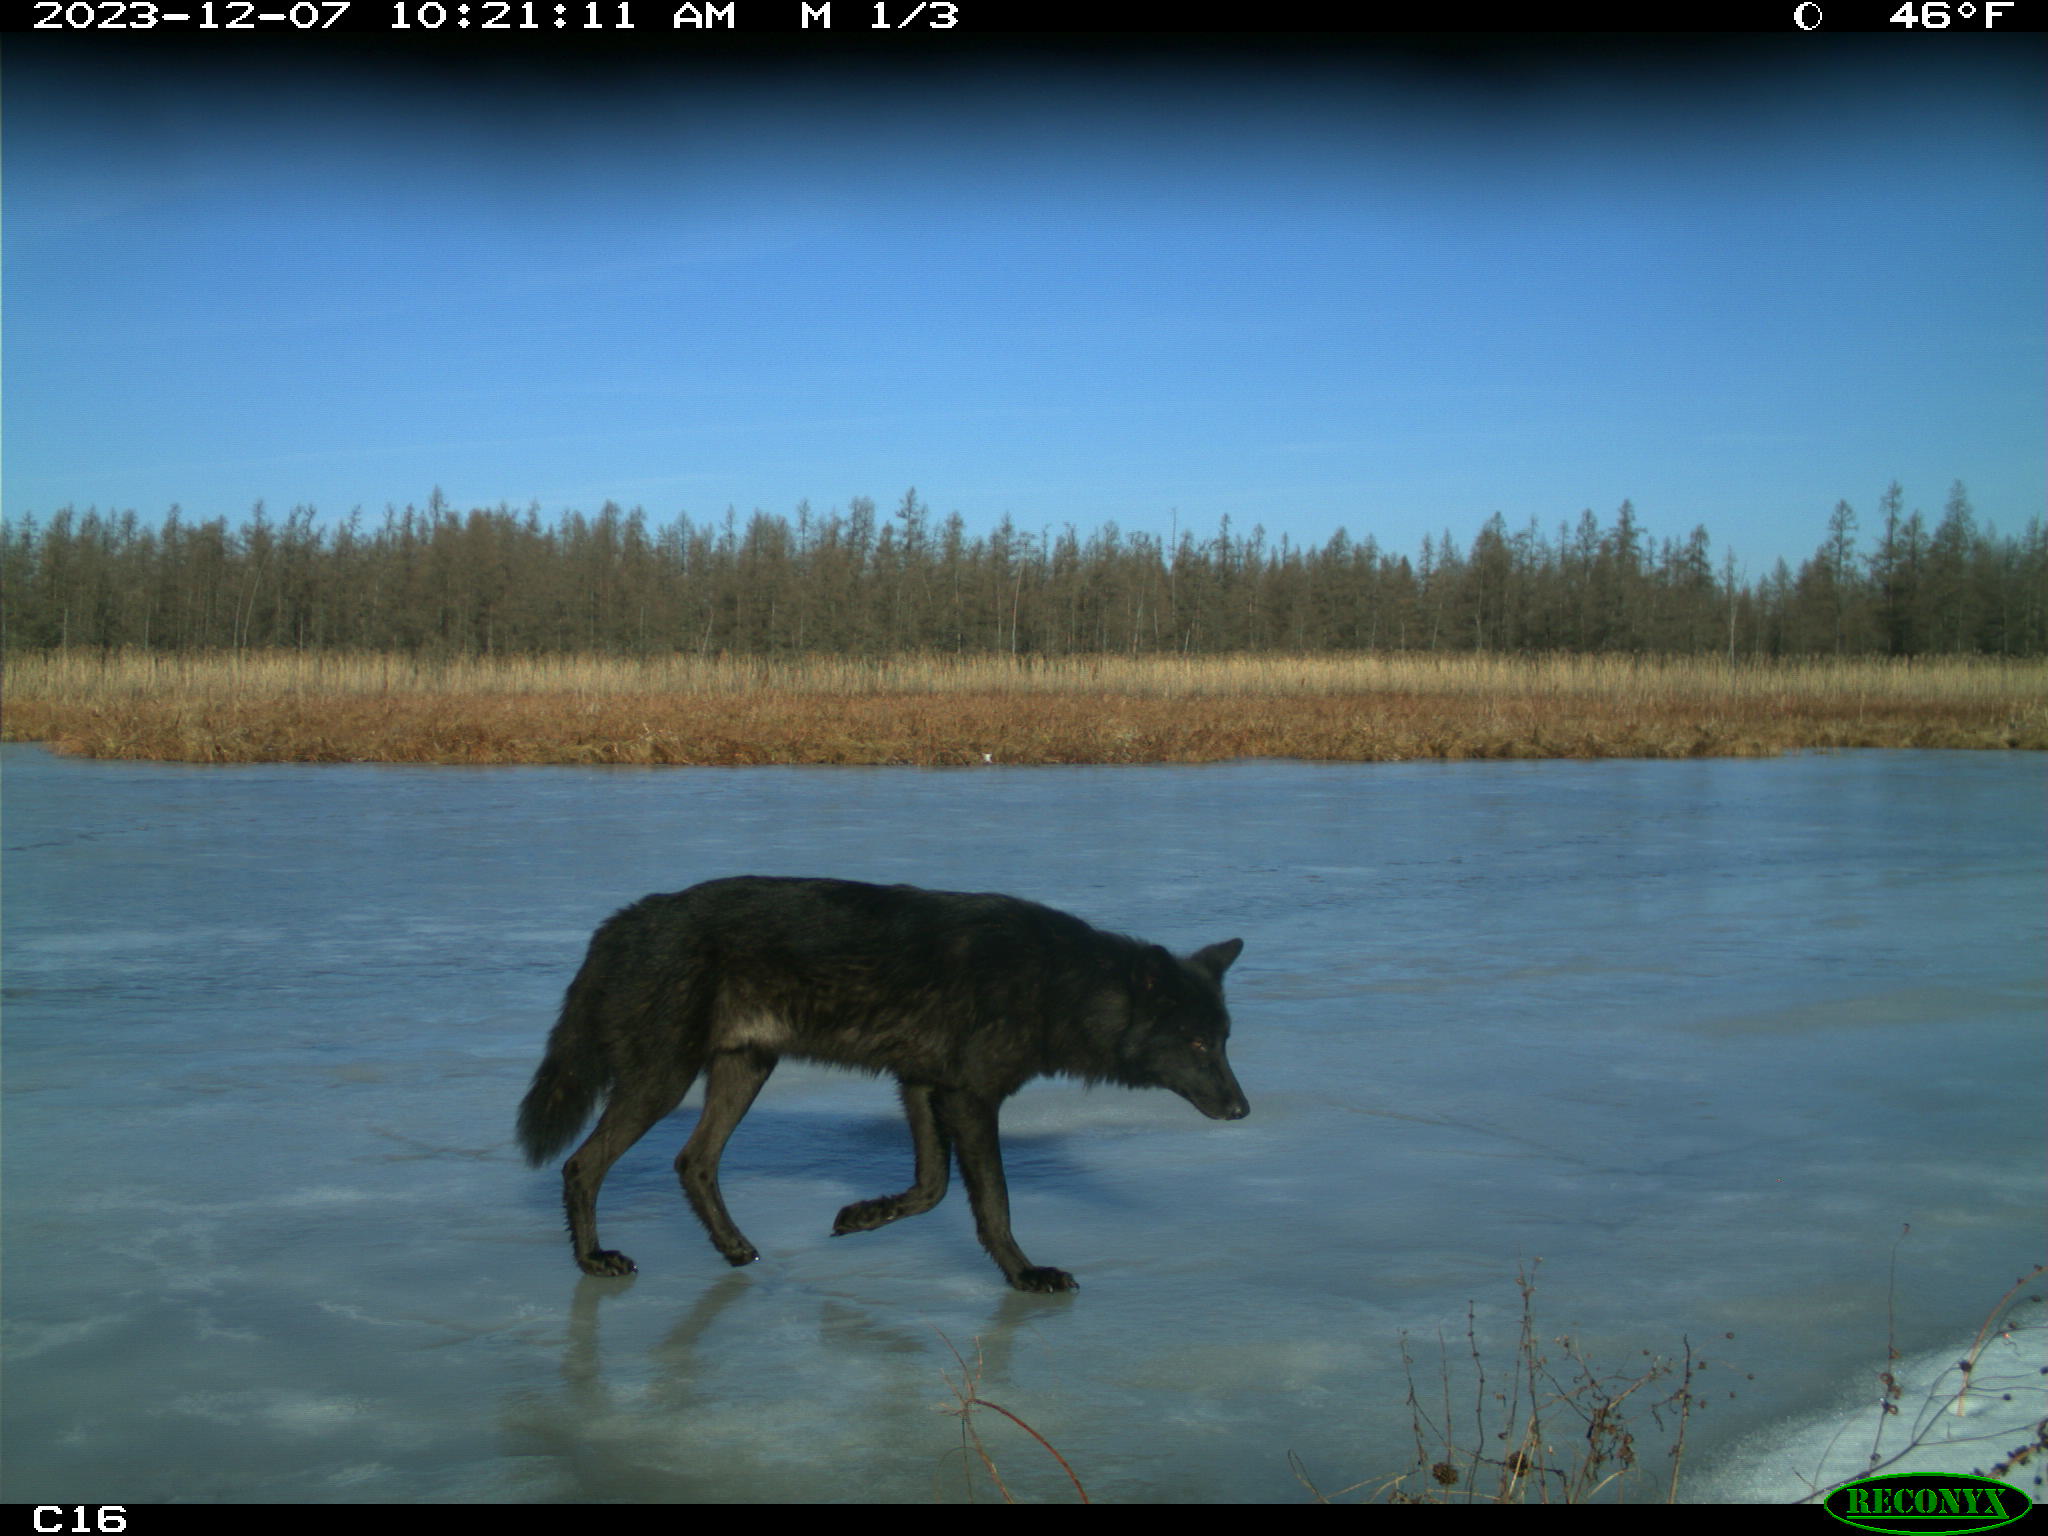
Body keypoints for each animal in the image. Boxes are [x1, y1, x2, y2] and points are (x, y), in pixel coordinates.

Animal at [516, 872, 1245, 1294]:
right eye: (1196, 1043)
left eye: (1224, 1040)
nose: (1242, 1108)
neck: (1053, 982)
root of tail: (620, 922)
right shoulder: (968, 1098)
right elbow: (995, 1204)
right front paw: (1024, 1274)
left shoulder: (922, 1086)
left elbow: (930, 1188)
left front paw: (862, 1216)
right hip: (661, 1082)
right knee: (583, 1166)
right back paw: (595, 1261)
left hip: (743, 1072)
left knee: (693, 1162)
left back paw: (737, 1250)